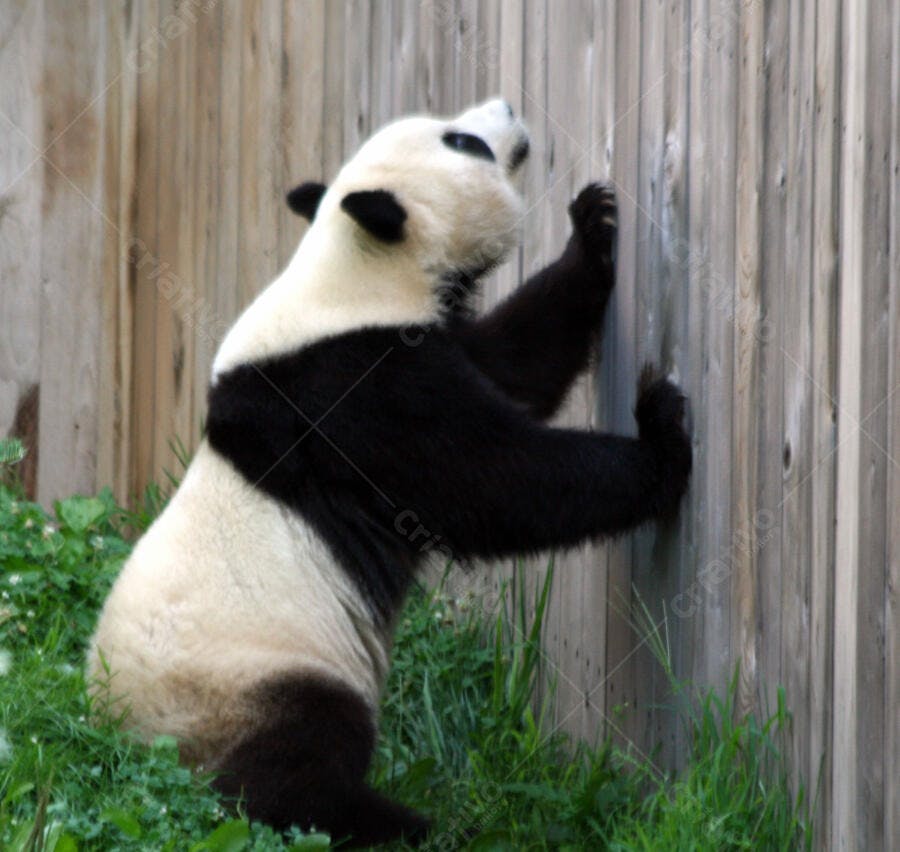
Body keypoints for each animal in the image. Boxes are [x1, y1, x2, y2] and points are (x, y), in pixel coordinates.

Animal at [88, 98, 691, 846]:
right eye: (462, 142)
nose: (507, 109)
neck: (351, 270)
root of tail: (124, 747)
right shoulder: (357, 396)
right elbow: (492, 479)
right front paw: (663, 438)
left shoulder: (419, 343)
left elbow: (518, 360)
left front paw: (595, 225)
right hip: (244, 678)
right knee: (295, 762)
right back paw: (411, 823)